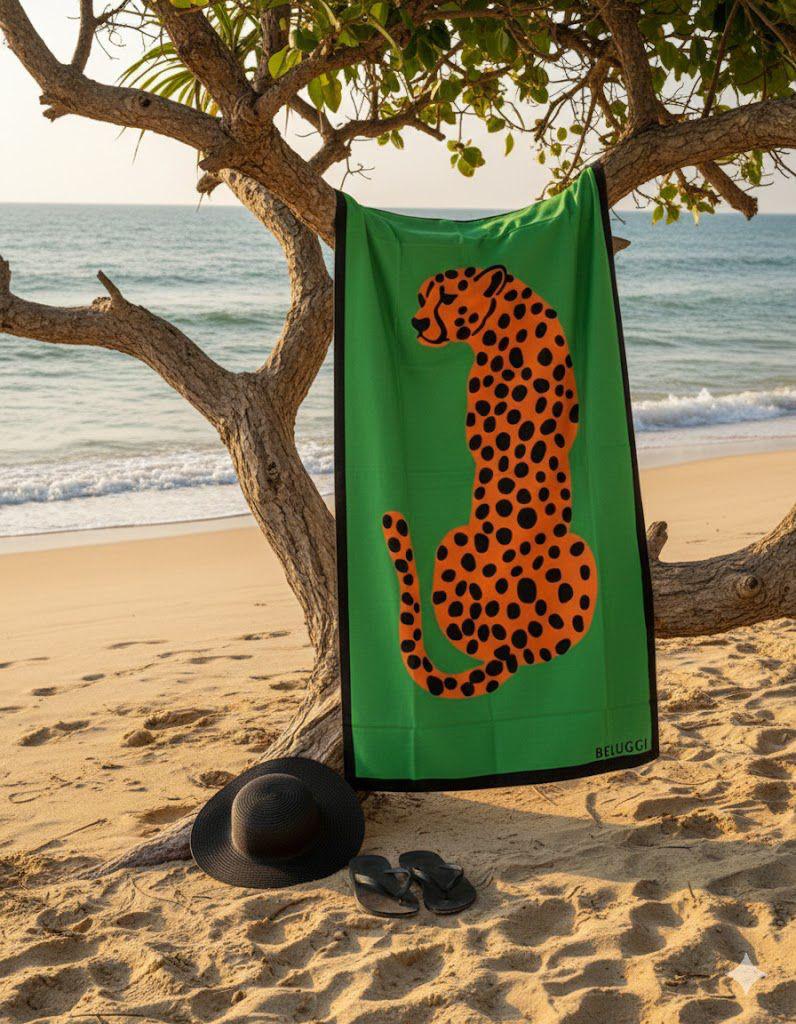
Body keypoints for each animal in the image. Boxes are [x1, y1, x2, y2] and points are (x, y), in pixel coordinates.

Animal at [381, 265, 598, 699]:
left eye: (447, 297)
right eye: (422, 297)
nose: (416, 322)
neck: (510, 321)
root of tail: (508, 646)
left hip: (576, 550)